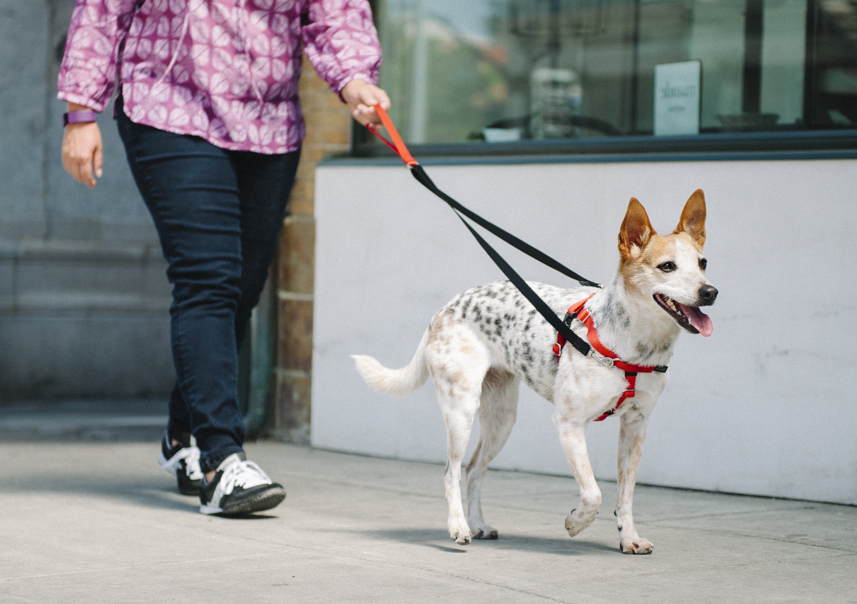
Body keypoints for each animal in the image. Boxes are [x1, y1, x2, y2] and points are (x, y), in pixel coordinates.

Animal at [352, 191, 716, 556]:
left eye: (702, 263)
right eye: (667, 266)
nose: (710, 292)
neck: (634, 342)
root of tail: (445, 309)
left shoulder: (636, 425)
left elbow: (624, 494)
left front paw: (629, 538)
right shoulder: (569, 423)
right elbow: (593, 492)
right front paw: (575, 523)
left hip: (501, 419)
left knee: (473, 469)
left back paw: (478, 524)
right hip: (461, 410)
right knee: (450, 471)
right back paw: (458, 527)